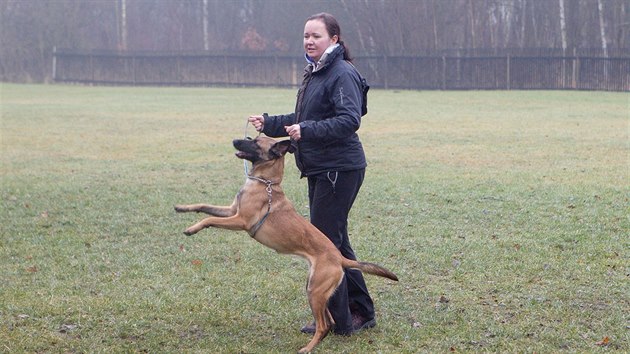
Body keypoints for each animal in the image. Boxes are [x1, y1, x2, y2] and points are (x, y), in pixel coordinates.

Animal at [175, 137, 398, 352]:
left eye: (254, 141)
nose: (234, 141)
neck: (266, 183)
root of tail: (340, 258)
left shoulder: (240, 221)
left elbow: (209, 219)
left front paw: (191, 229)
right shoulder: (231, 211)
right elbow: (203, 206)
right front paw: (182, 208)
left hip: (315, 291)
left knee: (324, 324)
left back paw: (307, 348)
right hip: (314, 288)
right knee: (328, 322)